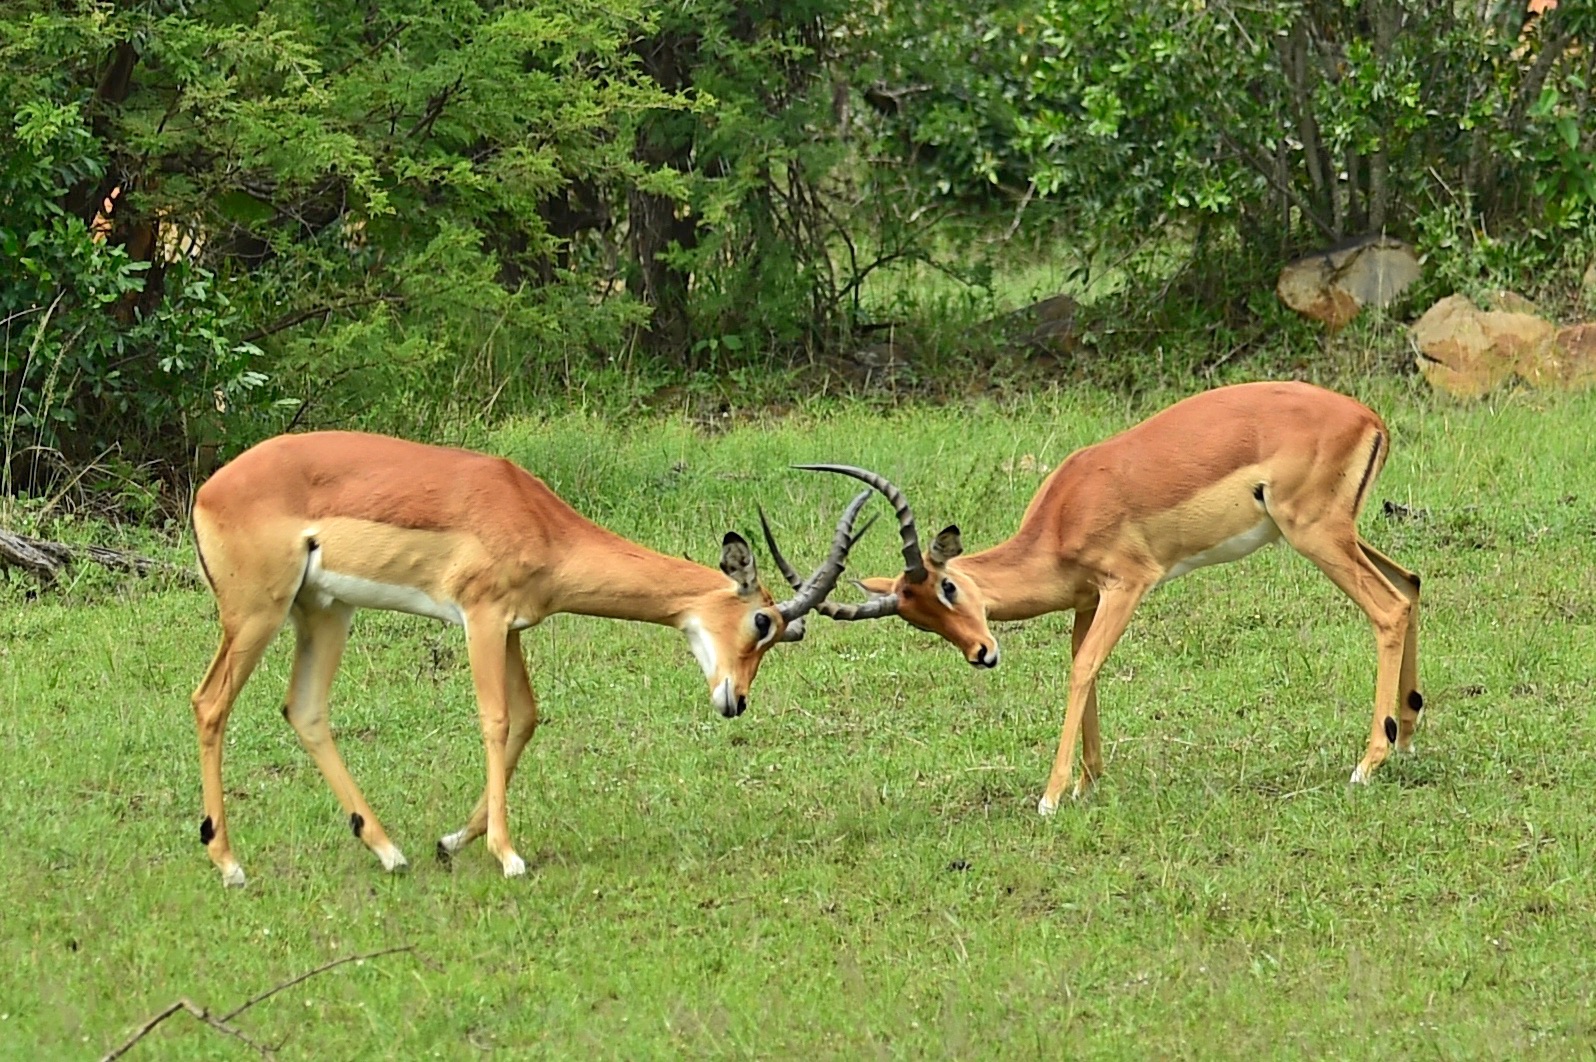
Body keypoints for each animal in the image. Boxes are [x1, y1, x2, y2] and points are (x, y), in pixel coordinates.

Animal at [186, 427, 874, 881]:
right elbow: (494, 720)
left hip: (325, 610)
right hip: (257, 613)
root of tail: (207, 491)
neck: (535, 518)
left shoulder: (512, 627)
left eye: (782, 635)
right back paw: (228, 862)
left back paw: (389, 850)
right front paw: (508, 855)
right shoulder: (481, 618)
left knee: (304, 709)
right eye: (761, 621)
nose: (736, 701)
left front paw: (450, 841)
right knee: (209, 702)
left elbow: (527, 718)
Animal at [772, 381, 1423, 811]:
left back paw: (1368, 763)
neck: (1064, 515)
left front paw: (1052, 795)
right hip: (1341, 534)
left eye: (948, 585)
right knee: (1411, 584)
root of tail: (1368, 416)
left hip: (1314, 534)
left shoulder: (1127, 584)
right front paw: (1088, 781)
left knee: (1387, 608)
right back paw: (1407, 737)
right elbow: (1084, 666)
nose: (983, 653)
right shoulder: (1087, 601)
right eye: (919, 619)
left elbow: (1083, 667)